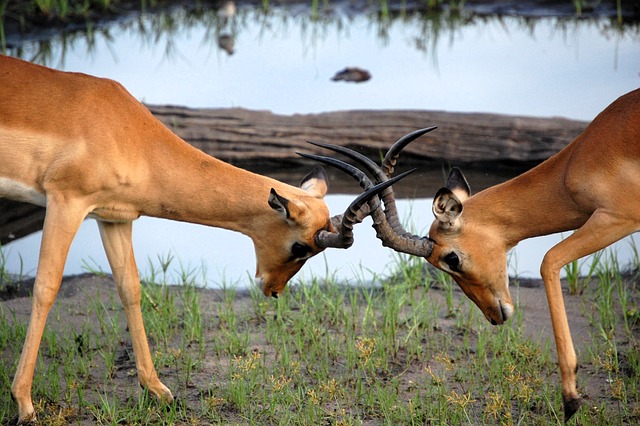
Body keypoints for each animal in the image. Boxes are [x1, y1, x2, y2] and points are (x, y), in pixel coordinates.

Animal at [0, 55, 415, 424]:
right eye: (301, 246)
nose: (273, 289)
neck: (127, 131)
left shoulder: (114, 218)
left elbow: (130, 288)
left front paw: (159, 391)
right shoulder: (65, 202)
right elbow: (46, 287)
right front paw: (24, 405)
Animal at [313, 88, 640, 421]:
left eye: (451, 258)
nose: (495, 316)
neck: (578, 161)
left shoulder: (619, 215)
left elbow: (548, 260)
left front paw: (571, 400)